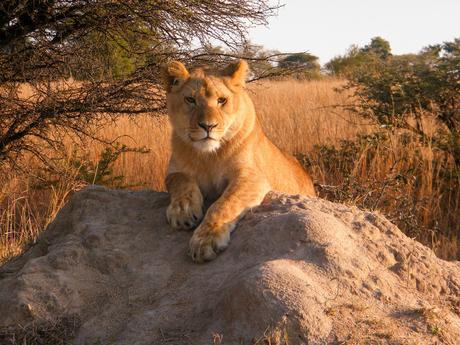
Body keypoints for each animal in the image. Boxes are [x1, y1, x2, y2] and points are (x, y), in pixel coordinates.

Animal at [162, 60, 316, 262]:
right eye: (190, 100)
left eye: (222, 100)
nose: (208, 126)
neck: (208, 156)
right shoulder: (174, 171)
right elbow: (181, 181)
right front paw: (183, 211)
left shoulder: (252, 177)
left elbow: (224, 204)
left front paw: (206, 239)